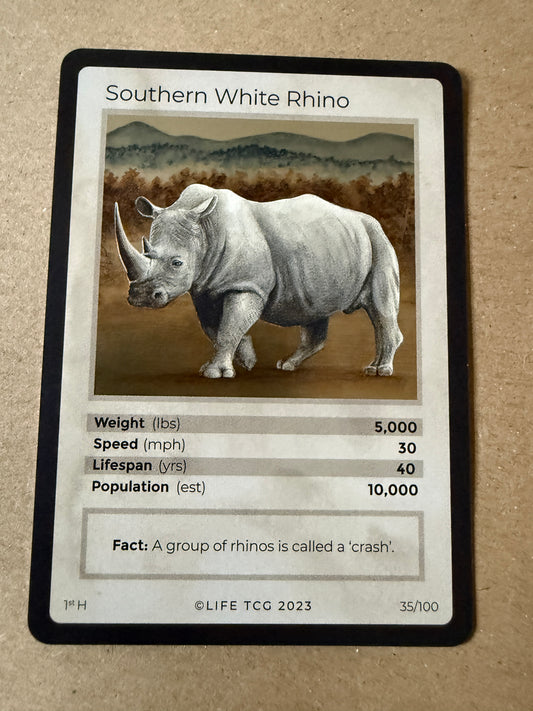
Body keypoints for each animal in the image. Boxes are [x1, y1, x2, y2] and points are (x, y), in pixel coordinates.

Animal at [114, 184, 403, 378]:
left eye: (177, 263)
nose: (141, 296)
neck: (206, 230)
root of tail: (371, 222)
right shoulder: (204, 289)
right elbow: (215, 328)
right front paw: (246, 360)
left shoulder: (246, 285)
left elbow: (229, 325)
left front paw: (215, 373)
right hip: (328, 251)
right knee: (314, 310)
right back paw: (287, 365)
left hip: (378, 243)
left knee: (381, 309)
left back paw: (378, 370)